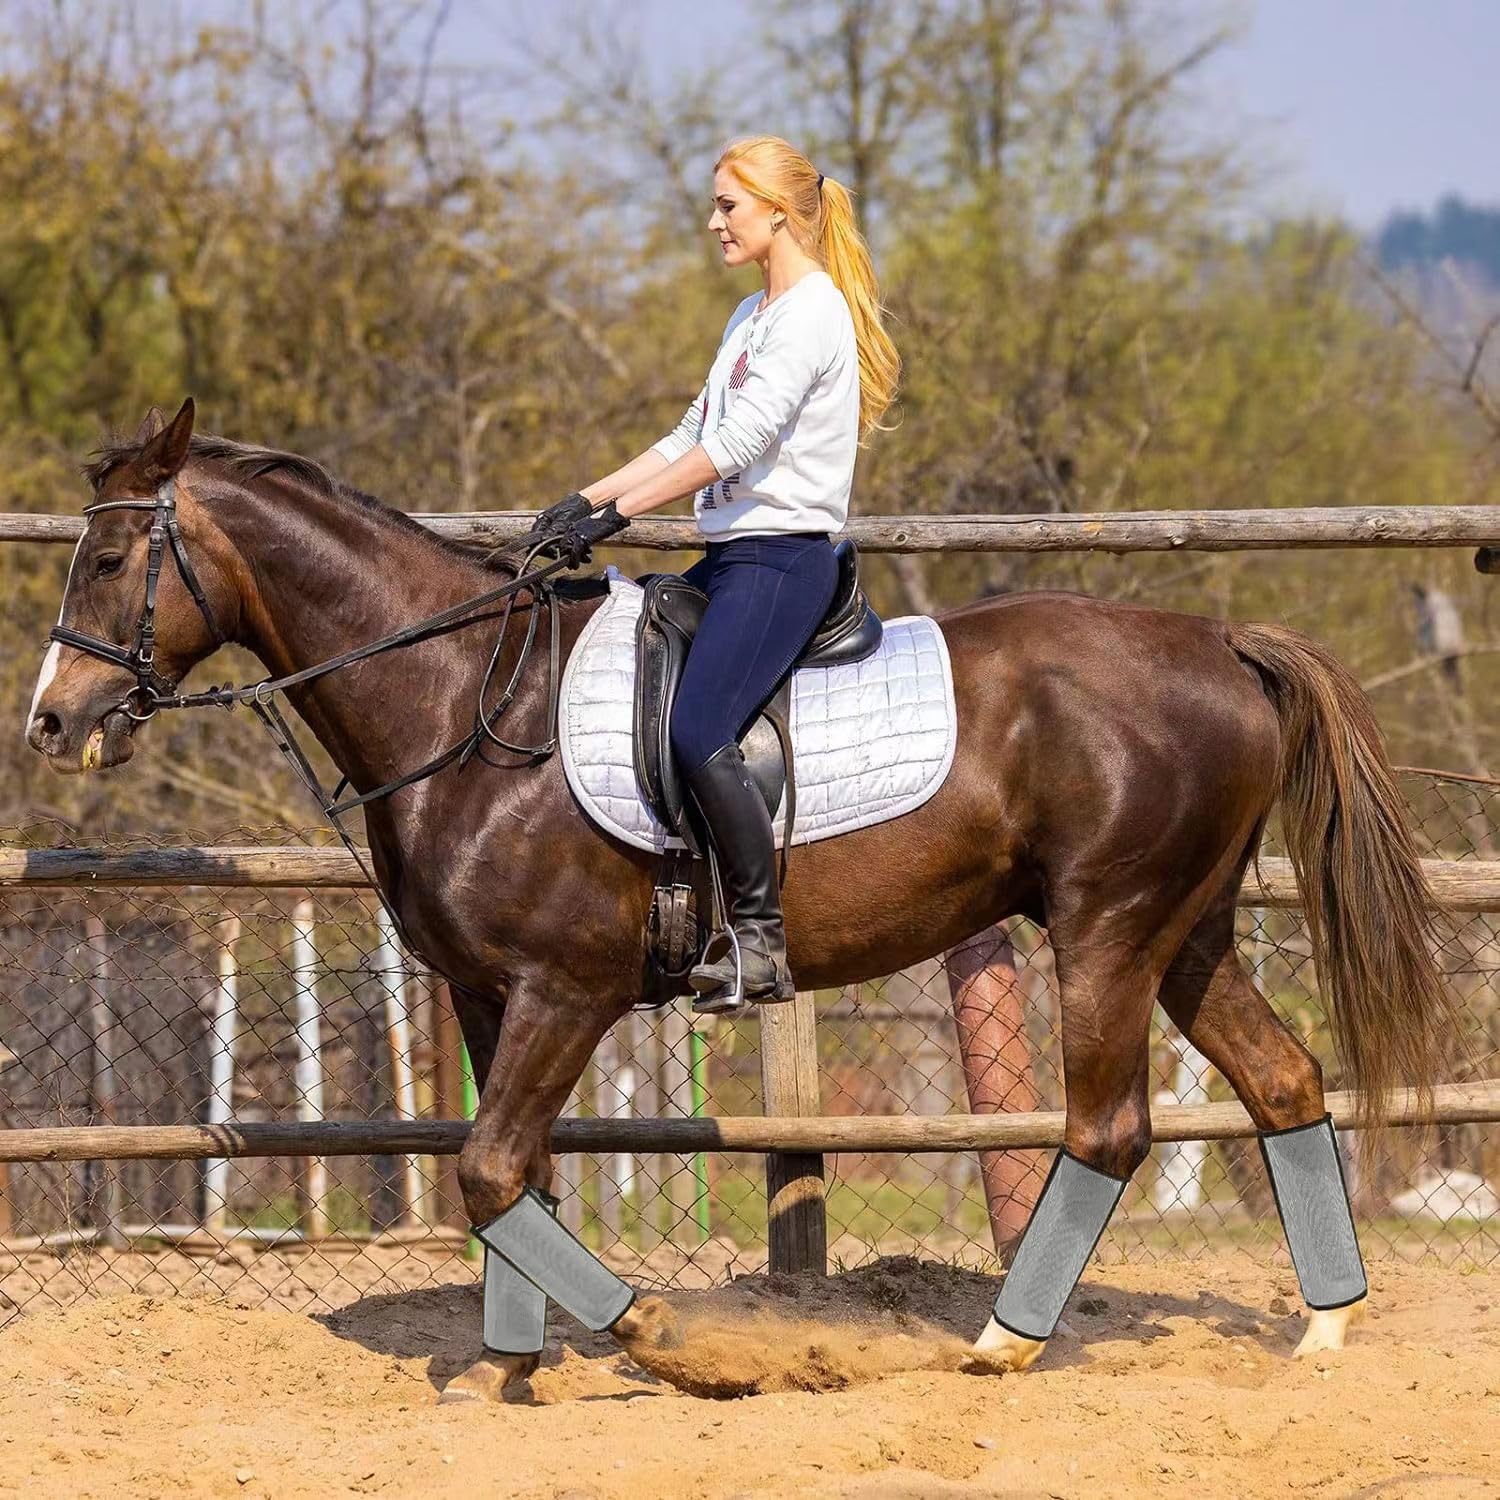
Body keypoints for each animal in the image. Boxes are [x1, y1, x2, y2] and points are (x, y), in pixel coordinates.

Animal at [26, 400, 1456, 1397]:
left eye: (109, 558)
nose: (49, 723)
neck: (464, 705)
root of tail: (1220, 643)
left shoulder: (567, 992)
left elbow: (489, 1171)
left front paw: (654, 1335)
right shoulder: (490, 996)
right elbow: (510, 1176)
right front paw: (505, 1368)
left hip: (1109, 927)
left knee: (1107, 1130)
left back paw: (1003, 1344)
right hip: (1185, 933)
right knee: (1286, 1084)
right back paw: (1325, 1330)